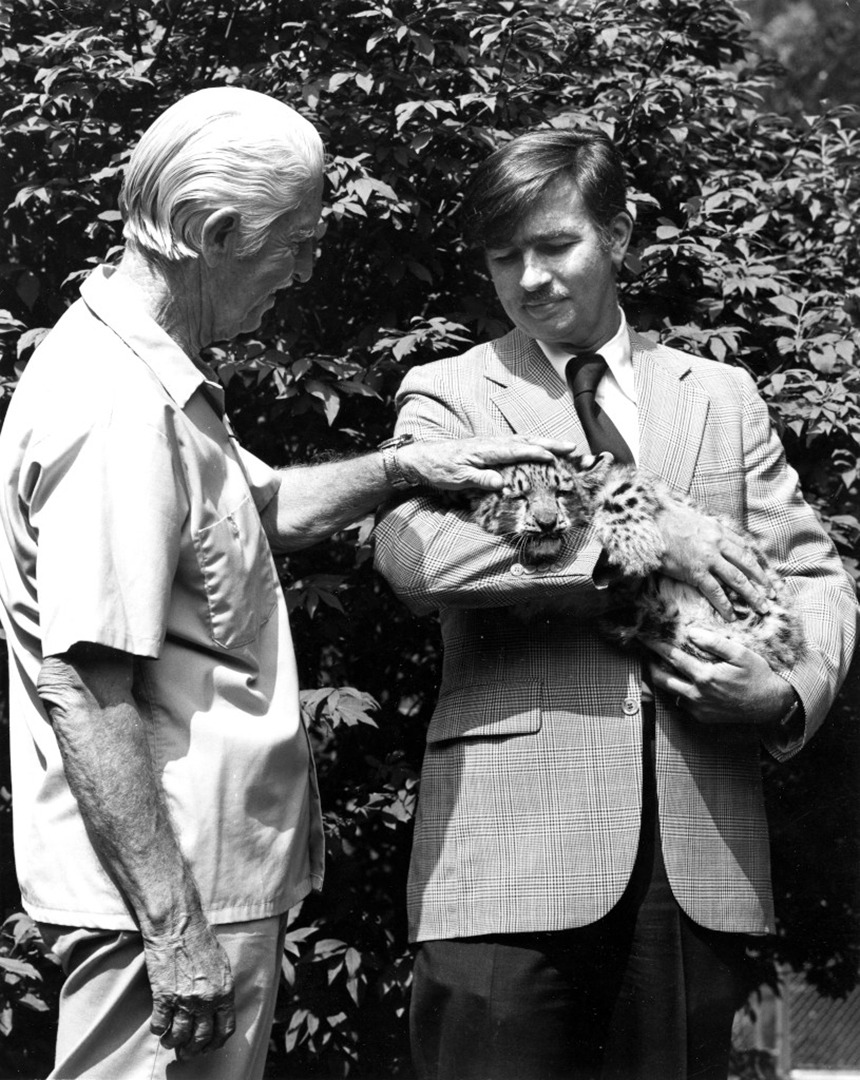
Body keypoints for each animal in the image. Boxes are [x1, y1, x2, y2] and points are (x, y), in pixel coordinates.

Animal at [464, 452, 805, 668]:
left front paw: (635, 547)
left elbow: (620, 495)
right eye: (518, 497)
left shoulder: (629, 478)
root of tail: (791, 641)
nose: (547, 523)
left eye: (562, 492)